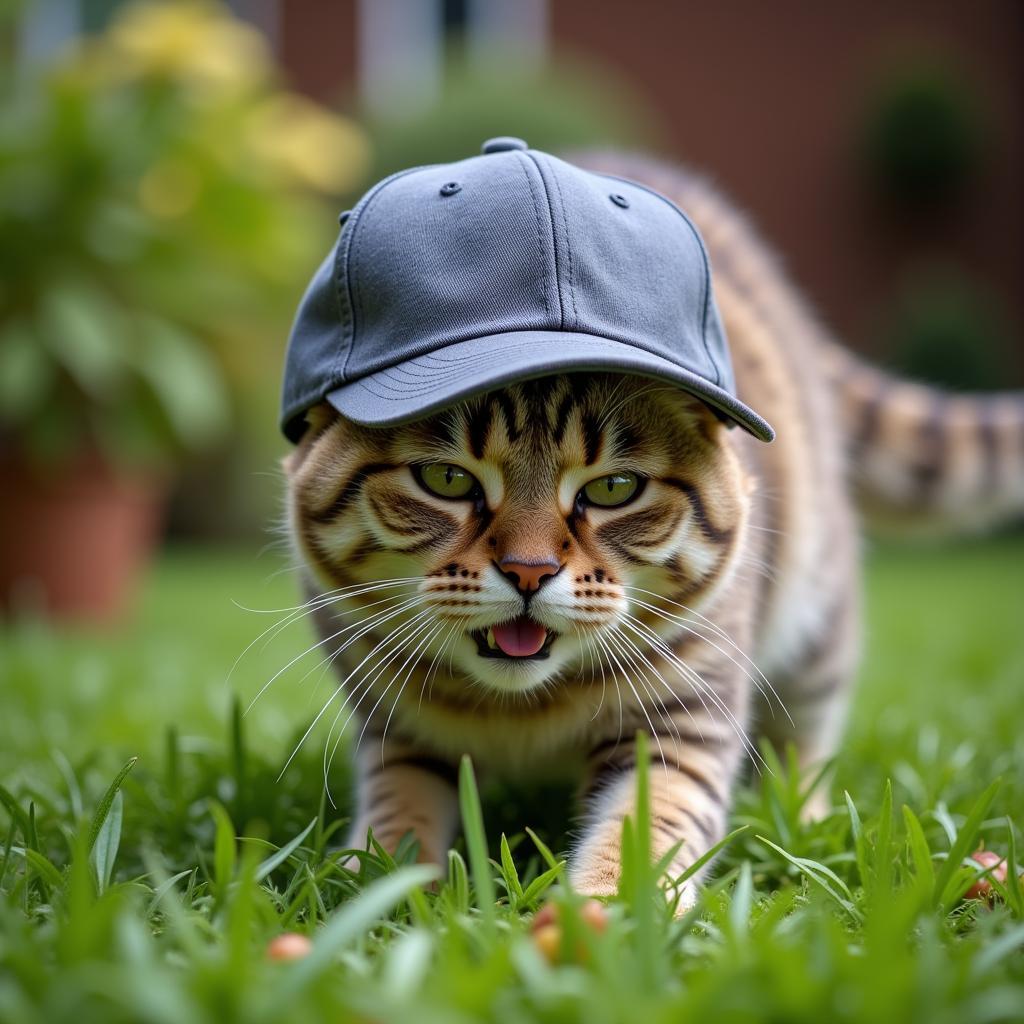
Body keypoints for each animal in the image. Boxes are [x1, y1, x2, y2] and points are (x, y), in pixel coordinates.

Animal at [280, 151, 1024, 905]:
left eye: (614, 488)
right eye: (447, 480)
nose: (528, 572)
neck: (522, 710)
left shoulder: (682, 719)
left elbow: (645, 828)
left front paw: (604, 914)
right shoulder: (395, 729)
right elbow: (398, 814)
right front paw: (377, 891)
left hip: (819, 623)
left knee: (806, 740)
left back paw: (805, 825)